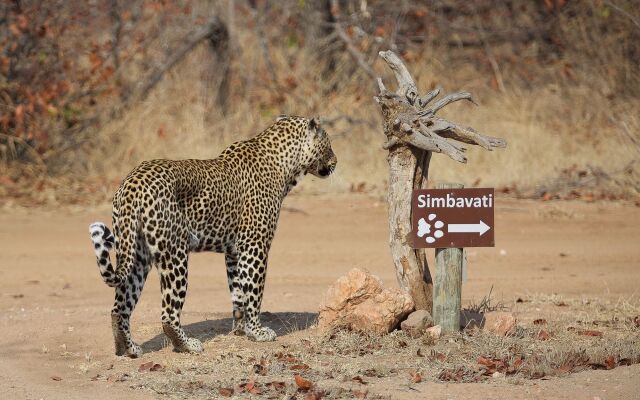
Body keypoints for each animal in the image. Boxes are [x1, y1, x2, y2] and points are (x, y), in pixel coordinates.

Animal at [91, 115, 340, 356]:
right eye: (328, 144)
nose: (335, 162)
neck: (286, 164)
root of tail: (132, 183)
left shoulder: (234, 252)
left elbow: (238, 292)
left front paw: (241, 330)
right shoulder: (255, 245)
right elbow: (254, 291)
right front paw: (258, 332)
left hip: (136, 255)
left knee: (119, 308)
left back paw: (127, 349)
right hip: (174, 254)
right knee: (168, 314)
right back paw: (187, 346)